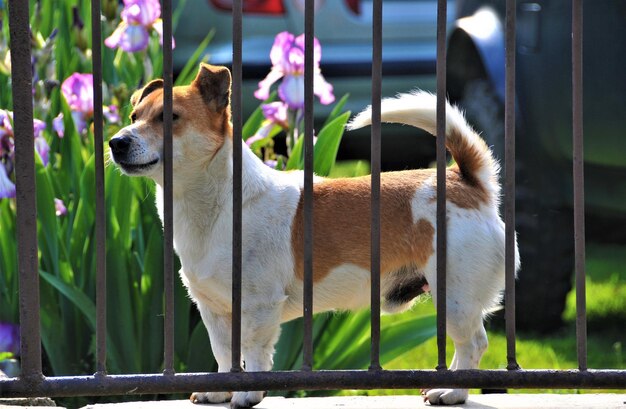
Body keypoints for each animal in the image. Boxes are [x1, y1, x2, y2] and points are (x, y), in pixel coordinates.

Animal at [107, 62, 516, 406]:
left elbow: (253, 353)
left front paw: (246, 394)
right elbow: (224, 353)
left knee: (473, 343)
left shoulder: (259, 306)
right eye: (134, 116)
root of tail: (469, 183)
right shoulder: (213, 310)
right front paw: (220, 390)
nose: (116, 142)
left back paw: (453, 392)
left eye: (170, 117)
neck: (213, 205)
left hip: (455, 297)